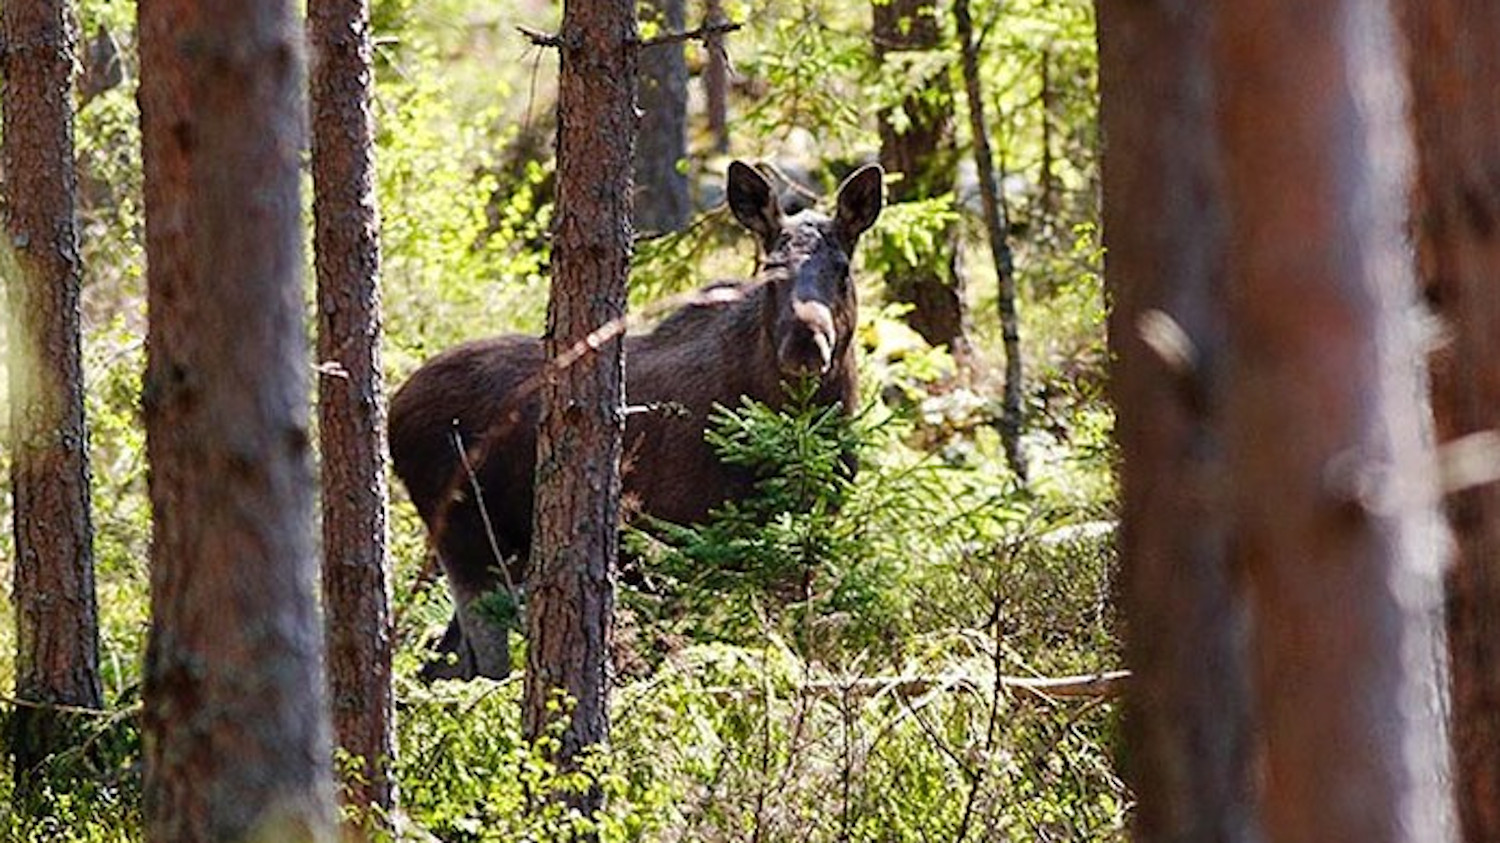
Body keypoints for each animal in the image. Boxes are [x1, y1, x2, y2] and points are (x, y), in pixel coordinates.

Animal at [387, 160, 882, 678]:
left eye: (843, 269)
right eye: (770, 270)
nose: (806, 340)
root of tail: (394, 410)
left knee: (442, 663)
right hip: (468, 542)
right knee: (481, 662)